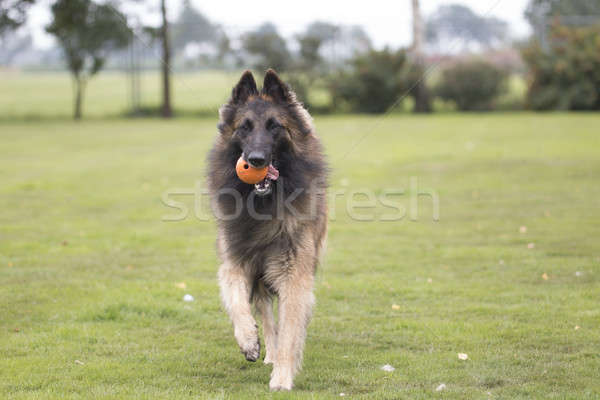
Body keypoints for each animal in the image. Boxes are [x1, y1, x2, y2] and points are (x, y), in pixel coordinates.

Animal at [207, 69, 328, 390]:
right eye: (244, 128)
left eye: (274, 127)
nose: (256, 160)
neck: (263, 205)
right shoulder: (235, 261)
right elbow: (237, 302)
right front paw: (249, 341)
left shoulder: (294, 274)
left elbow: (290, 329)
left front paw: (283, 378)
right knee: (266, 314)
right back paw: (267, 351)